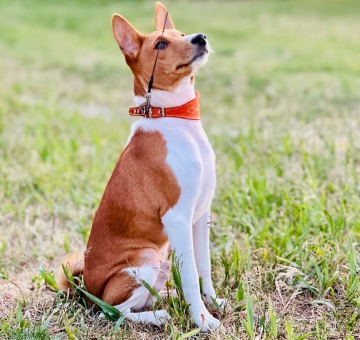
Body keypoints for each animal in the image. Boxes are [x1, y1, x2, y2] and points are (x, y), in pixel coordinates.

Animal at [57, 1, 224, 330]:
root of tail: (87, 289)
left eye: (181, 34)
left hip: (160, 262)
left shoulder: (201, 215)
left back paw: (164, 300)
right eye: (161, 44)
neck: (174, 118)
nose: (200, 37)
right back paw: (157, 315)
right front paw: (202, 320)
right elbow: (190, 277)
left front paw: (212, 304)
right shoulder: (178, 218)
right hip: (146, 259)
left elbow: (204, 269)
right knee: (112, 311)